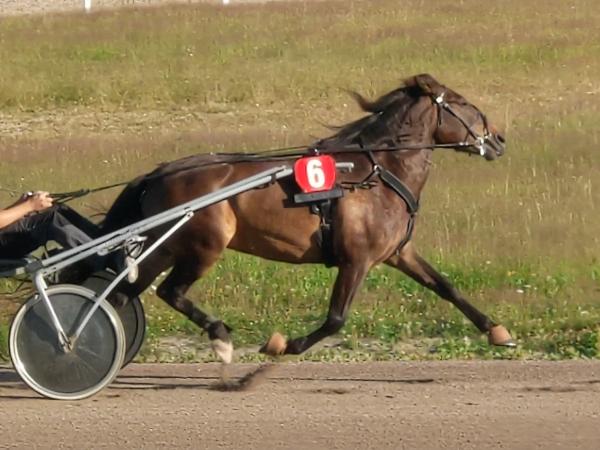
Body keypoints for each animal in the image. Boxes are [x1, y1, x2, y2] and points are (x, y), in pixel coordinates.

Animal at [100, 73, 512, 364]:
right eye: (462, 102)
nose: (498, 139)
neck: (378, 173)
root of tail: (160, 172)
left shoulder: (398, 253)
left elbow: (446, 287)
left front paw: (497, 331)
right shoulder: (356, 259)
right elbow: (336, 319)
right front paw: (283, 344)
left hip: (166, 246)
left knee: (124, 294)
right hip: (203, 246)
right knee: (170, 291)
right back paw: (220, 337)